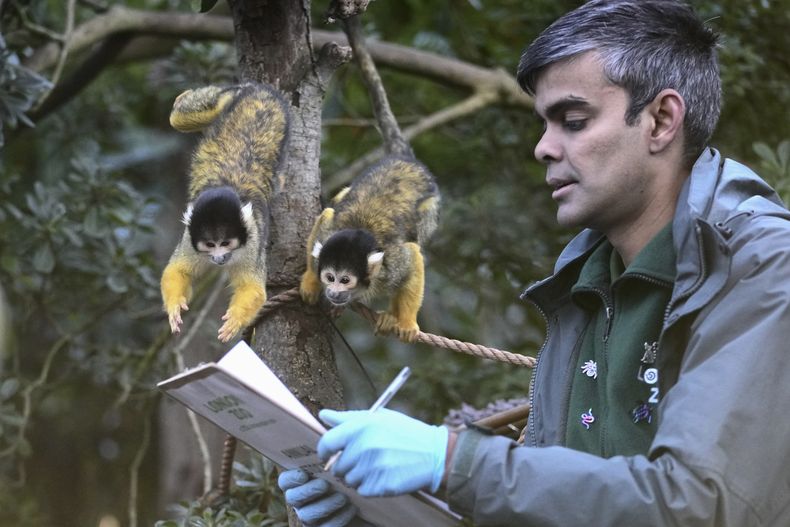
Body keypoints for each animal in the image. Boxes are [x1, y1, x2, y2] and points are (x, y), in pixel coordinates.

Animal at [160, 83, 289, 342]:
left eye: (226, 243)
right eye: (210, 245)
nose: (219, 258)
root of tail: (261, 91)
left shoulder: (253, 239)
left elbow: (253, 288)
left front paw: (234, 321)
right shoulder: (190, 238)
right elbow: (177, 270)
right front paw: (175, 307)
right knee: (182, 117)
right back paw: (182, 99)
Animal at [300, 156, 440, 343]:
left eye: (345, 280)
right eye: (329, 277)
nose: (333, 293)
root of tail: (407, 161)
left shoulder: (392, 266)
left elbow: (412, 255)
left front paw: (407, 322)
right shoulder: (327, 234)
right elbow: (326, 216)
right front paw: (311, 280)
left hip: (429, 210)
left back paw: (391, 316)